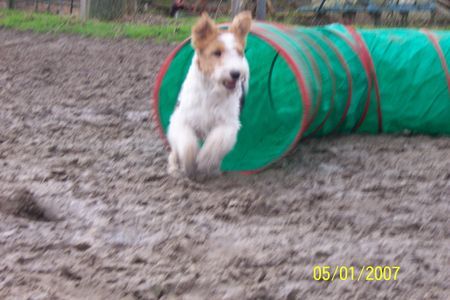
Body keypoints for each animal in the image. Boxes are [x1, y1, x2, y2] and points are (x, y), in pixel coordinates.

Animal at [166, 11, 251, 179]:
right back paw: (174, 167)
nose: (236, 74)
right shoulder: (181, 119)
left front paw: (205, 161)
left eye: (239, 52)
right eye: (217, 52)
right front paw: (189, 163)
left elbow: (216, 143)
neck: (211, 91)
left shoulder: (227, 123)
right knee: (175, 151)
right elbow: (187, 143)